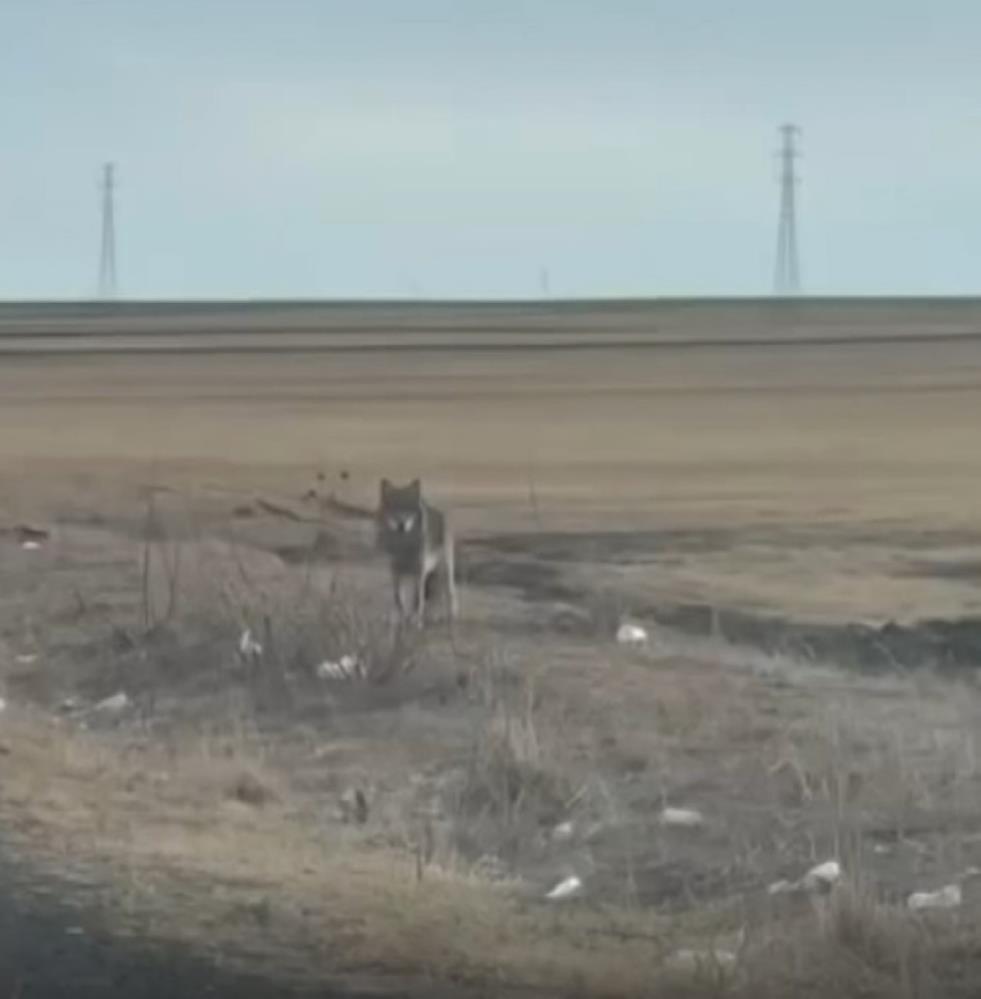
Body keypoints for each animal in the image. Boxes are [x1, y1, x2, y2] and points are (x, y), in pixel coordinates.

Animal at [378, 478, 458, 624]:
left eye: (408, 509)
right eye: (394, 508)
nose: (401, 525)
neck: (404, 546)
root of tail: (438, 511)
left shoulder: (419, 572)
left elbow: (419, 599)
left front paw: (416, 619)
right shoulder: (395, 571)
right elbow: (398, 597)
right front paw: (402, 615)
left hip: (445, 569)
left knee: (449, 592)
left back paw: (451, 615)